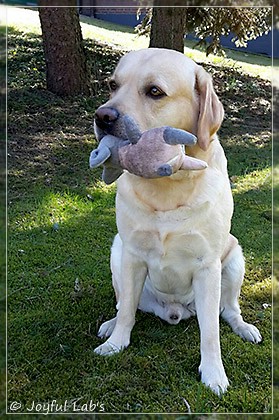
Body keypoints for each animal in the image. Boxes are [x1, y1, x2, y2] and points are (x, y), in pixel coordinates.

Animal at [92, 48, 262, 394]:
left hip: (234, 259)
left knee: (228, 310)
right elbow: (127, 310)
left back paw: (244, 327)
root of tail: (173, 311)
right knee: (125, 304)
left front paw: (213, 373)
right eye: (112, 85)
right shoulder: (131, 255)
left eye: (154, 91)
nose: (102, 117)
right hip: (117, 252)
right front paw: (116, 343)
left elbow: (210, 332)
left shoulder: (208, 266)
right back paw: (111, 325)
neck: (168, 189)